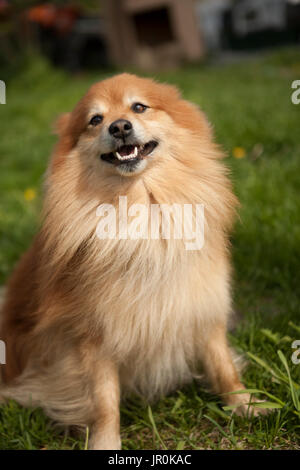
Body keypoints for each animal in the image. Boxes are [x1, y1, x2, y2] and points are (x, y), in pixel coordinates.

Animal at [0, 73, 258, 448]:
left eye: (139, 107)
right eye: (95, 120)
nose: (119, 126)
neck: (139, 204)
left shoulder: (202, 302)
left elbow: (222, 362)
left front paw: (245, 404)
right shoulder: (93, 335)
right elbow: (104, 400)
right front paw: (105, 443)